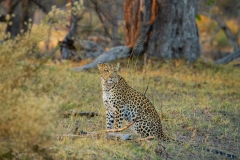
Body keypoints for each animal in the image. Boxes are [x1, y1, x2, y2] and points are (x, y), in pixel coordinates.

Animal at [97, 62, 236, 159]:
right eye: (106, 70)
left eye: (115, 71)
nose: (111, 77)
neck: (106, 86)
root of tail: (161, 131)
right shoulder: (109, 110)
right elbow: (108, 124)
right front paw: (107, 134)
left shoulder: (119, 108)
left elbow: (117, 124)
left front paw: (116, 134)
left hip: (138, 122)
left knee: (150, 137)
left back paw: (135, 137)